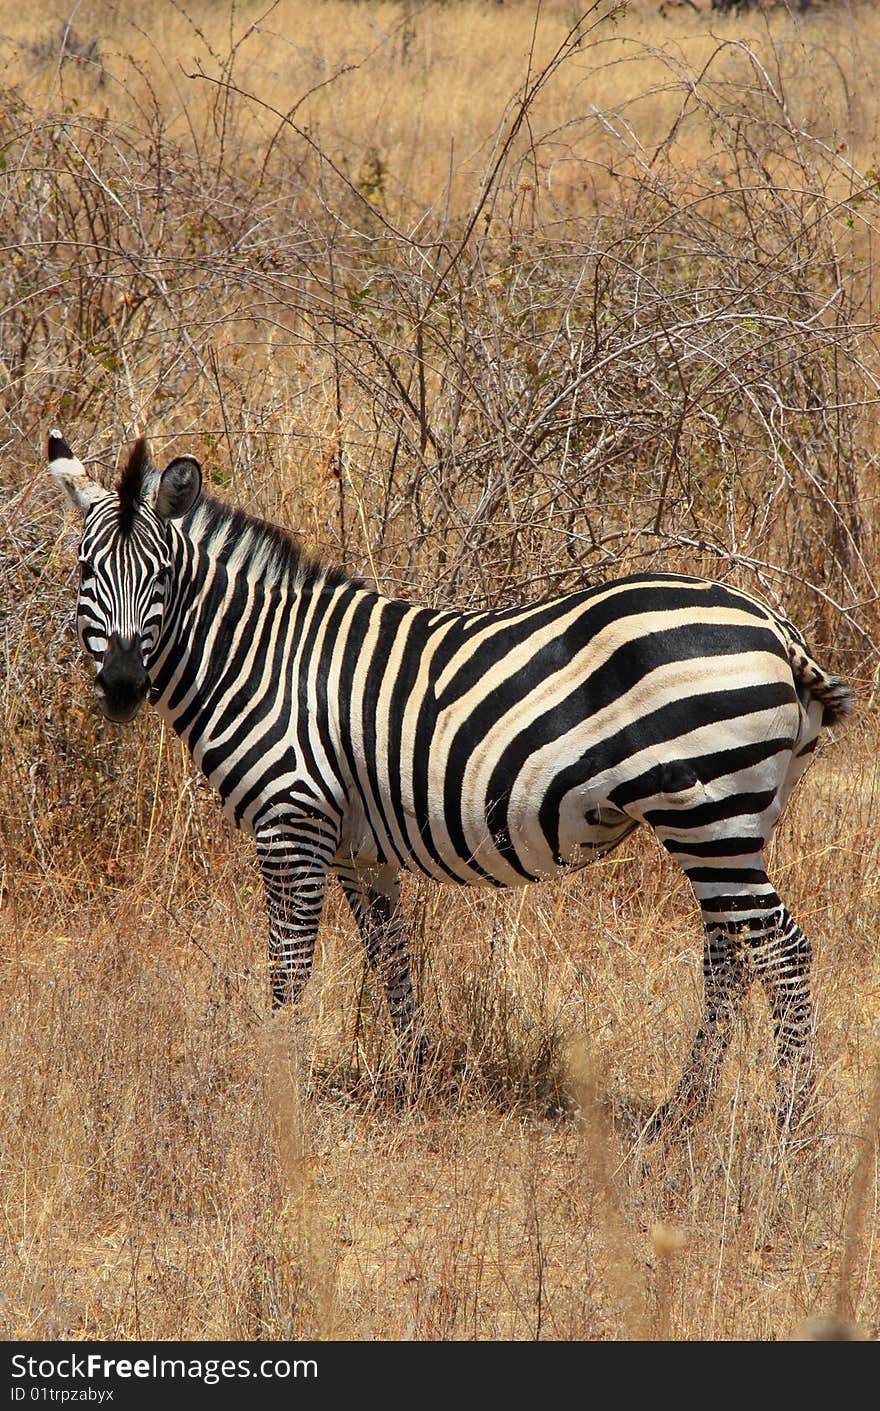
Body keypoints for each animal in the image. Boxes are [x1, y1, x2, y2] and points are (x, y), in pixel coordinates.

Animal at [47, 428, 851, 1134]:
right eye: (87, 574)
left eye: (160, 577)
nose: (121, 687)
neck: (258, 660)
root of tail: (775, 625)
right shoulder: (355, 845)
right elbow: (392, 958)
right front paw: (413, 1076)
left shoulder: (291, 821)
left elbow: (289, 967)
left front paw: (277, 1085)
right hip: (732, 820)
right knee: (730, 953)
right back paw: (683, 1113)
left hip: (710, 812)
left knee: (781, 951)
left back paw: (790, 1125)